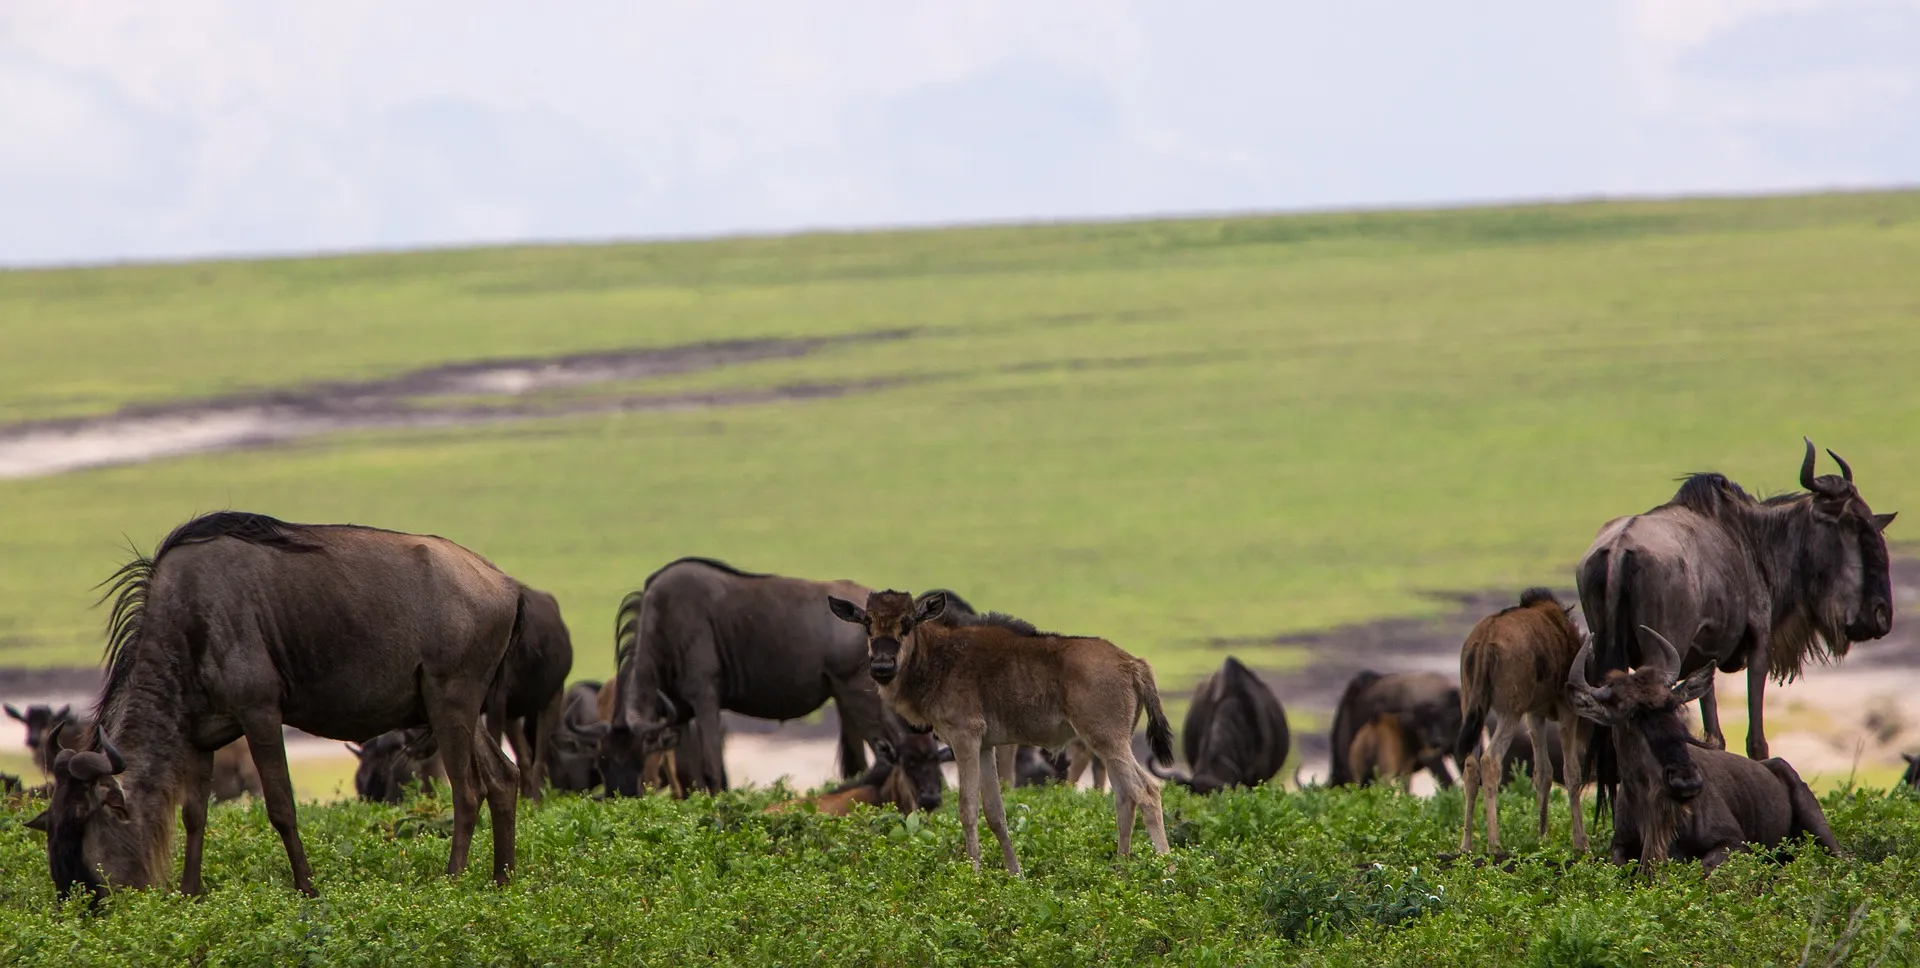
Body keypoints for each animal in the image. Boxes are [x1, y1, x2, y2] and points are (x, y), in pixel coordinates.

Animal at [833, 587, 1175, 871]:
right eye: (867, 623)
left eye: (907, 623)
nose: (881, 667)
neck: (938, 658)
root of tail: (1133, 663)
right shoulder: (985, 746)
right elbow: (995, 812)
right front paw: (1015, 874)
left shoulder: (964, 739)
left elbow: (967, 808)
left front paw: (973, 873)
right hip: (1110, 743)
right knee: (1124, 796)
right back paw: (1121, 869)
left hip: (1107, 741)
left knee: (1147, 790)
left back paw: (1167, 870)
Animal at [1451, 591, 1589, 852]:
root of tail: (1484, 641)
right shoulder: (1566, 709)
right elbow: (1572, 772)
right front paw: (1580, 843)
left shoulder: (1534, 713)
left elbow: (1543, 771)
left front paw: (1542, 836)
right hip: (1509, 712)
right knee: (1490, 760)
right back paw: (1494, 844)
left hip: (1471, 706)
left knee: (1471, 765)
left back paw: (1466, 845)